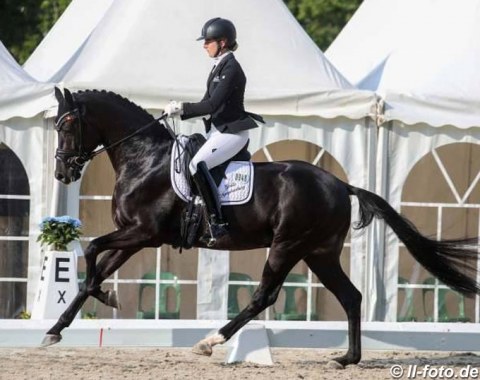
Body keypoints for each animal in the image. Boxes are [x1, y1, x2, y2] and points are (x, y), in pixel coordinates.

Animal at [47, 87, 480, 366]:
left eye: (67, 127)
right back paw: (346, 359)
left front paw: (100, 299)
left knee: (264, 296)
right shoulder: (134, 238)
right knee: (351, 296)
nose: (62, 174)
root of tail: (340, 184)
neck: (145, 159)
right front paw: (59, 326)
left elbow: (91, 251)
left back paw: (211, 341)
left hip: (287, 246)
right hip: (319, 252)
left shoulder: (144, 234)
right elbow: (94, 272)